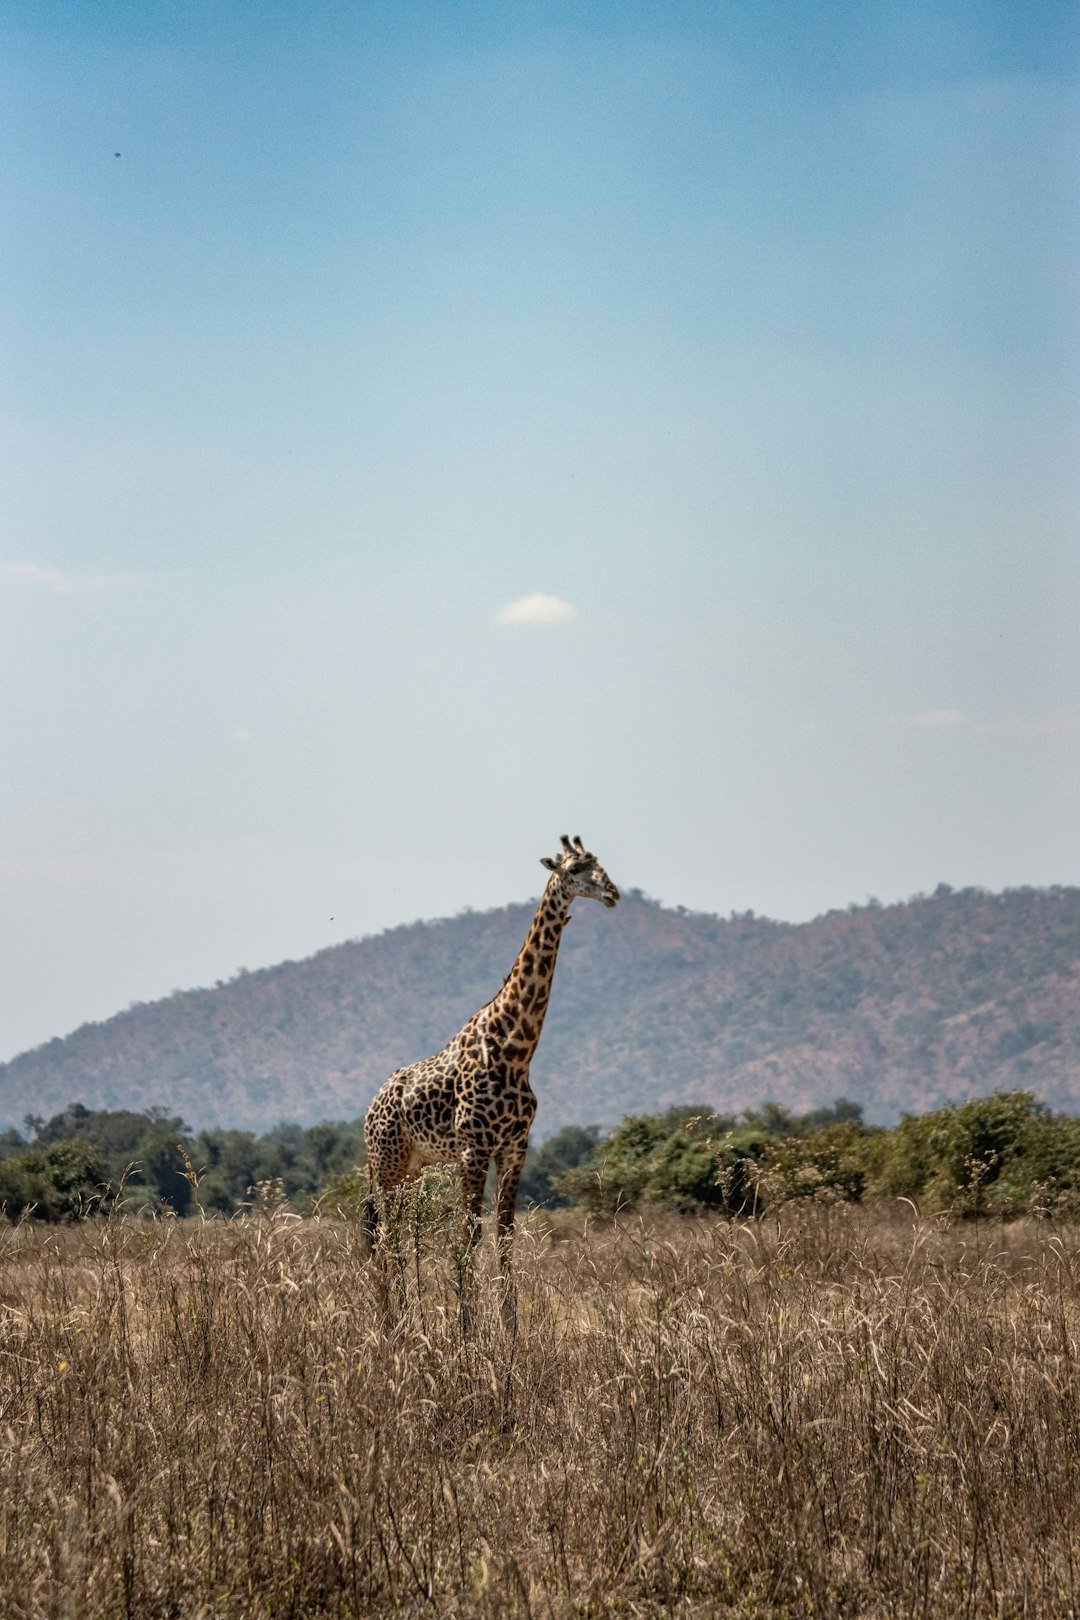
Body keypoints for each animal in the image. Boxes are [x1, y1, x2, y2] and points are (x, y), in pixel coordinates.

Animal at [363, 835, 620, 1271]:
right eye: (573, 870)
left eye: (599, 864)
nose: (612, 893)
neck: (515, 1050)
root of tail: (368, 1110)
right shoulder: (474, 1148)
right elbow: (468, 1236)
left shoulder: (515, 1148)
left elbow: (505, 1234)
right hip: (386, 1164)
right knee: (384, 1237)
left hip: (413, 1166)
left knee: (393, 1235)